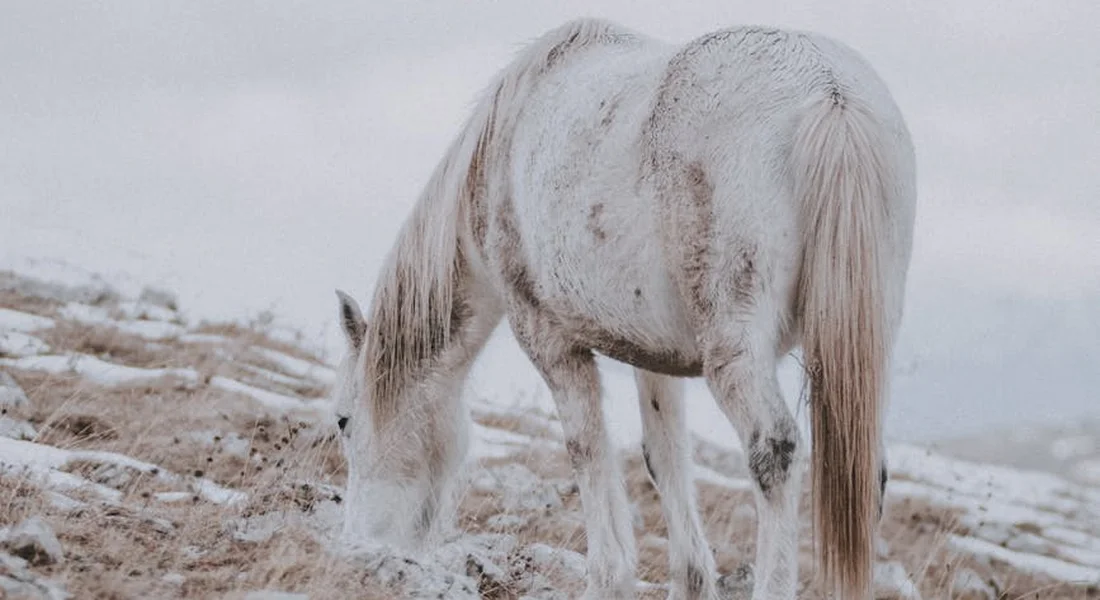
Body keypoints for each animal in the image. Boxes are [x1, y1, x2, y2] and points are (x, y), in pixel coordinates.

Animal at [331, 18, 915, 600]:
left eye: (342, 421)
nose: (357, 543)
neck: (499, 155)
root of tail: (830, 92)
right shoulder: (656, 357)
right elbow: (664, 458)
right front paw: (691, 581)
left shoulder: (548, 338)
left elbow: (586, 448)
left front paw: (608, 578)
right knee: (865, 471)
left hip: (737, 350)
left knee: (773, 452)